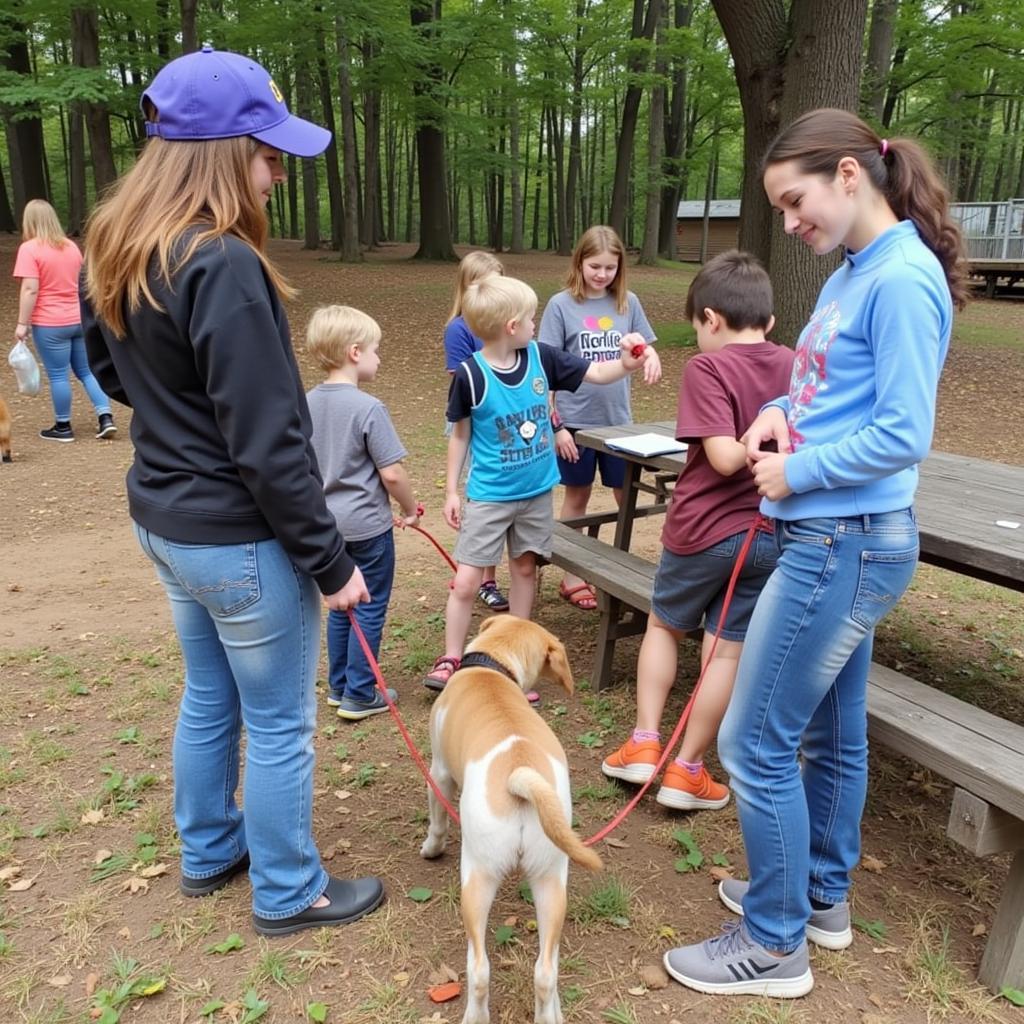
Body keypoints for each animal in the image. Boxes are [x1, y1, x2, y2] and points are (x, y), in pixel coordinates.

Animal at [421, 614, 602, 1024]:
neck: (491, 666)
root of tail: (518, 780)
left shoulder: (439, 772)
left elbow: (437, 818)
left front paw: (431, 848)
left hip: (476, 878)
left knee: (479, 970)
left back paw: (475, 1015)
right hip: (552, 880)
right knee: (546, 971)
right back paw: (551, 1013)